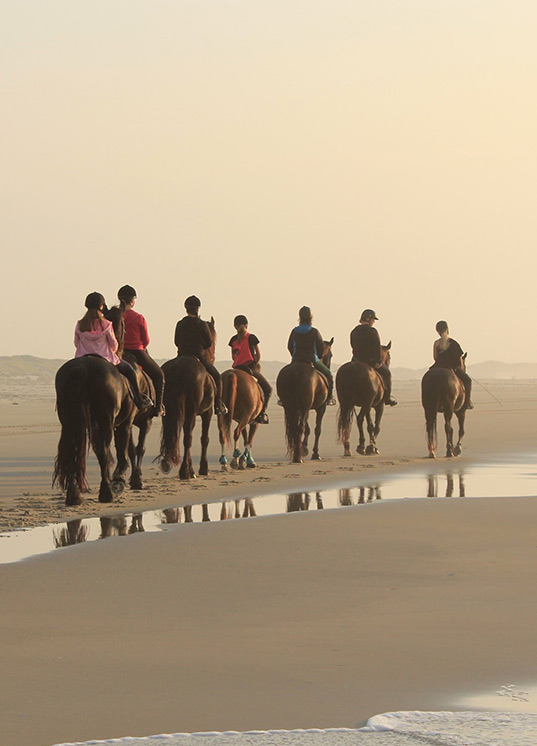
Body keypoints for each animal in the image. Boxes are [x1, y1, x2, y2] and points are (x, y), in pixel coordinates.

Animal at [53, 355, 139, 506]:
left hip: (70, 424)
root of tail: (81, 369)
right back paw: (106, 493)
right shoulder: (125, 423)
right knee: (102, 452)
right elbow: (123, 450)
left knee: (71, 453)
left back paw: (73, 496)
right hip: (105, 421)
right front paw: (119, 479)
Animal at [158, 318, 216, 480]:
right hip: (191, 411)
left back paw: (167, 464)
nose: (213, 356)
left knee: (169, 436)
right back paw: (186, 471)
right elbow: (204, 439)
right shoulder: (207, 412)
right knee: (187, 438)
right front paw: (203, 468)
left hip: (167, 412)